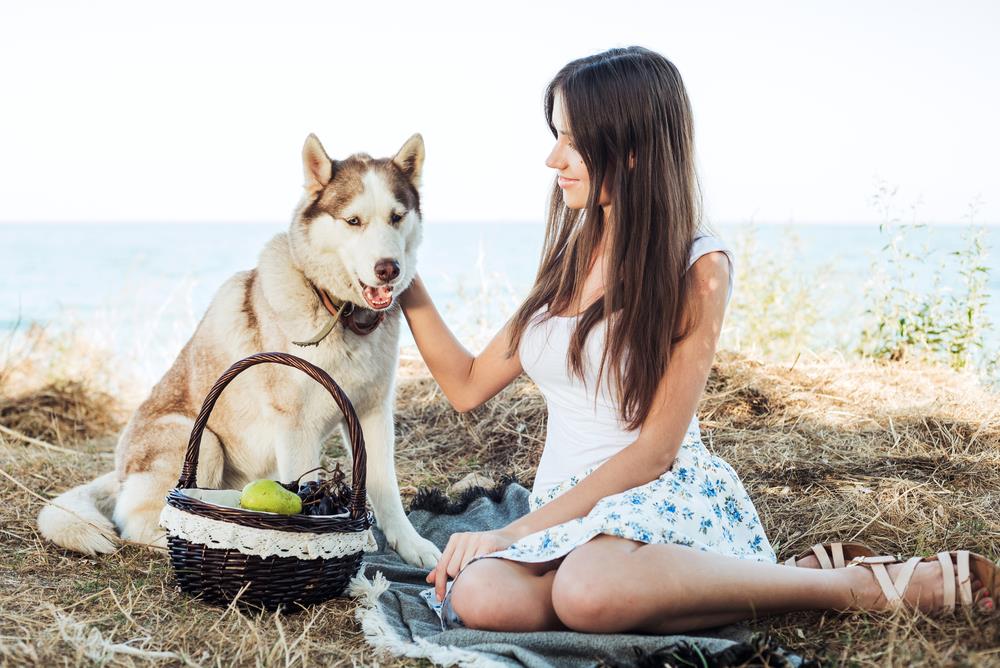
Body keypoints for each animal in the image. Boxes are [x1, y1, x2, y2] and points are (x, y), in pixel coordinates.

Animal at [37, 132, 442, 568]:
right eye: (353, 221)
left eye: (396, 217)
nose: (389, 269)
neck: (339, 312)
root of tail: (118, 471)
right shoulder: (295, 427)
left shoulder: (372, 412)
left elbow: (386, 488)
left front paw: (410, 545)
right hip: (204, 444)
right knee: (141, 522)